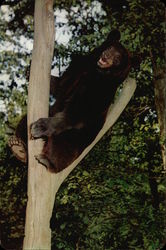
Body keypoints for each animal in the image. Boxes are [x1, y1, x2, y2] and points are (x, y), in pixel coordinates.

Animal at [8, 30, 139, 173]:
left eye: (118, 57)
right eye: (110, 48)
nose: (106, 56)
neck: (97, 71)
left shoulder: (101, 89)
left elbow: (80, 109)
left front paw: (40, 127)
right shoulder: (80, 67)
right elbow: (61, 84)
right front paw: (28, 70)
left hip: (79, 136)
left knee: (63, 144)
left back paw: (48, 161)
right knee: (23, 122)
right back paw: (18, 146)